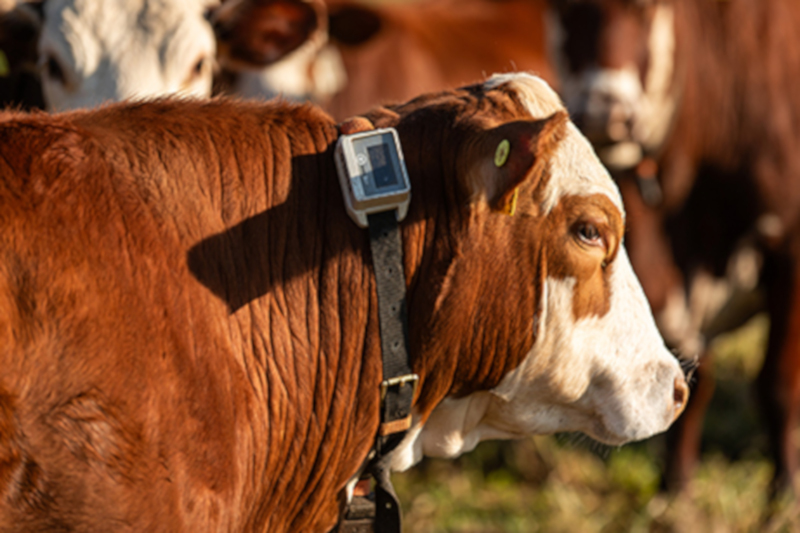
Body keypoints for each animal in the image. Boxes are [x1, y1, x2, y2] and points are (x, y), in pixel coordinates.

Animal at [552, 0, 800, 498]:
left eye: (646, 9)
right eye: (563, 8)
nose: (603, 112)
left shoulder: (790, 243)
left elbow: (777, 383)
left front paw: (783, 489)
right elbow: (689, 380)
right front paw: (675, 488)